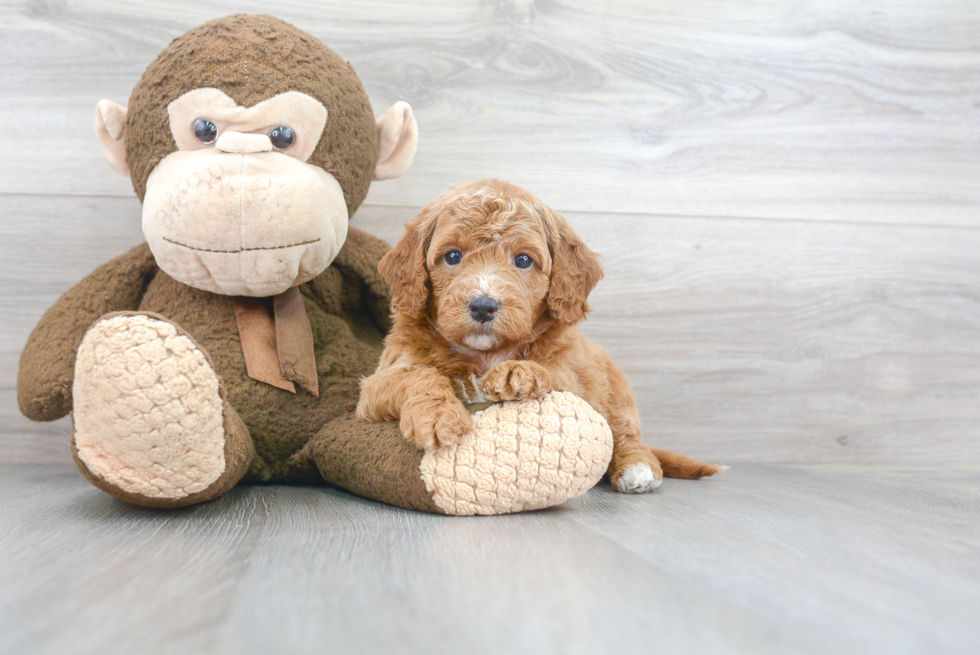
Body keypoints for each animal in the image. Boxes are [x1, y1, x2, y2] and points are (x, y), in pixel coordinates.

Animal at [360, 179, 720, 492]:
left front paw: (519, 372)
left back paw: (638, 469)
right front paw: (437, 416)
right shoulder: (377, 384)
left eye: (523, 260)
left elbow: (556, 371)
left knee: (627, 436)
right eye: (452, 256)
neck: (485, 355)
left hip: (616, 390)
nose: (483, 306)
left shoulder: (576, 377)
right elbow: (417, 376)